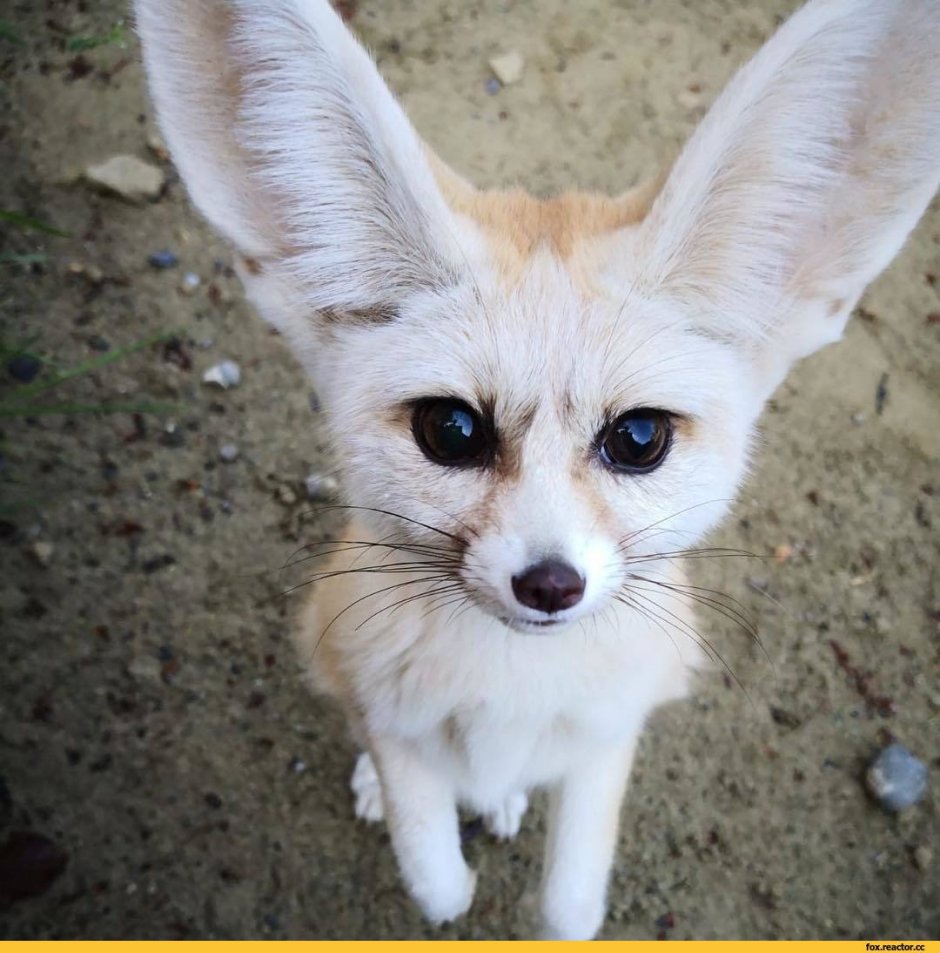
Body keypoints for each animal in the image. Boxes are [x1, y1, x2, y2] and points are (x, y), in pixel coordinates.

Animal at [135, 0, 940, 940]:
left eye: (638, 438)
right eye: (452, 430)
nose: (550, 584)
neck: (510, 690)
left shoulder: (608, 739)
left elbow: (569, 905)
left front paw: (515, 818)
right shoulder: (395, 721)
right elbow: (439, 882)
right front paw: (434, 831)